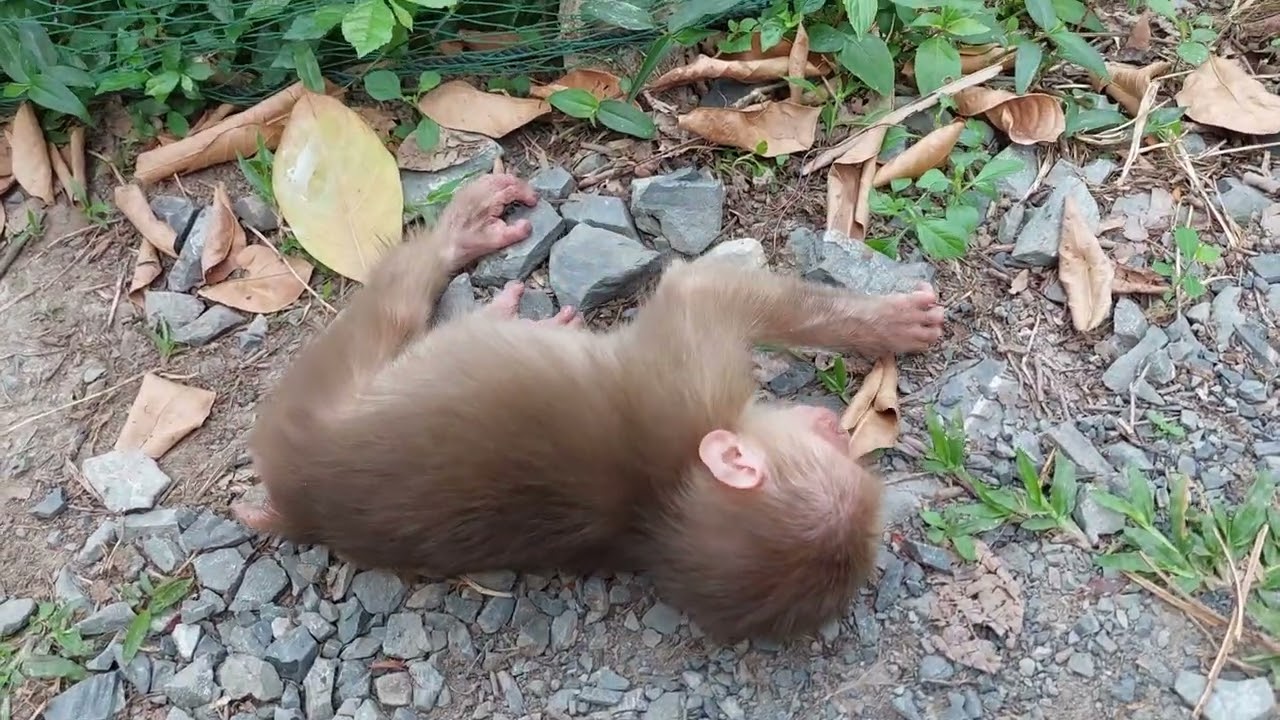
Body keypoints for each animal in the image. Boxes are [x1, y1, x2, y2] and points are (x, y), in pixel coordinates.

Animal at [235, 173, 945, 643]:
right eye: (829, 444)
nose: (837, 428)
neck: (661, 503)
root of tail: (298, 506)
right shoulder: (692, 376)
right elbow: (702, 290)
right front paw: (882, 324)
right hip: (315, 396)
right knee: (392, 312)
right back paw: (457, 243)